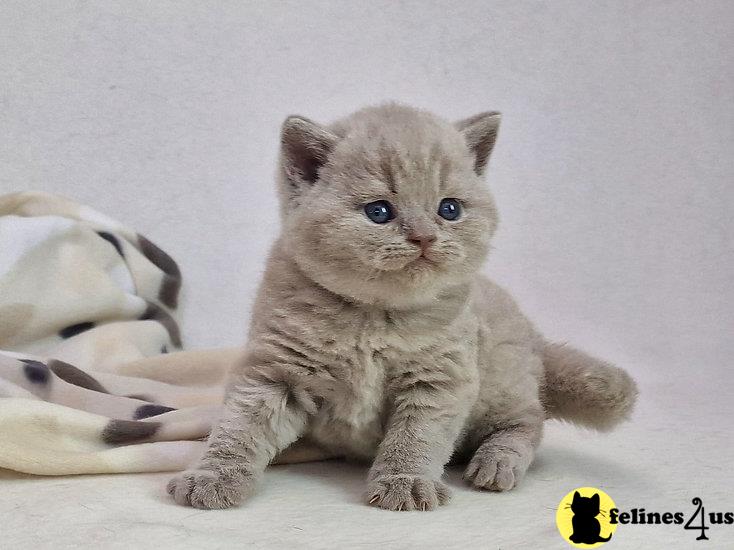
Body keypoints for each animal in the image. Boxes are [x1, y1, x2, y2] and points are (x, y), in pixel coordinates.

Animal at [167, 104, 640, 512]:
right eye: (379, 211)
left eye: (449, 209)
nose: (425, 236)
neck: (374, 318)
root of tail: (534, 336)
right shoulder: (276, 371)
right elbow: (240, 427)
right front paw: (213, 477)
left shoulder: (439, 379)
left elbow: (417, 438)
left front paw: (406, 483)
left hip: (501, 387)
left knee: (528, 422)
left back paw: (496, 463)